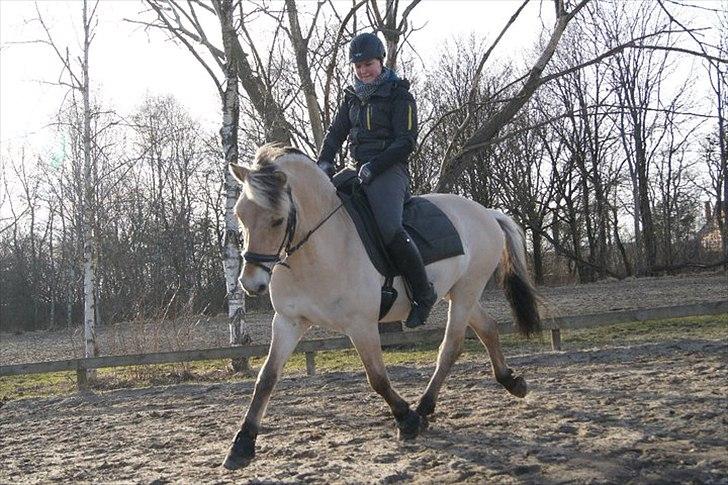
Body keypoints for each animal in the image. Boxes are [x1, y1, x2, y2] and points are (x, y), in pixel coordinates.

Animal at [222, 144, 540, 468]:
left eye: (277, 219)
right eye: (240, 215)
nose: (251, 284)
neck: (320, 247)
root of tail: (486, 212)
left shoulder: (360, 325)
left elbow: (377, 377)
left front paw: (407, 419)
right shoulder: (288, 322)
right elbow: (266, 378)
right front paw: (242, 445)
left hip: (466, 292)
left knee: (450, 347)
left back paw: (424, 408)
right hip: (459, 293)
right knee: (487, 328)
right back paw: (511, 381)